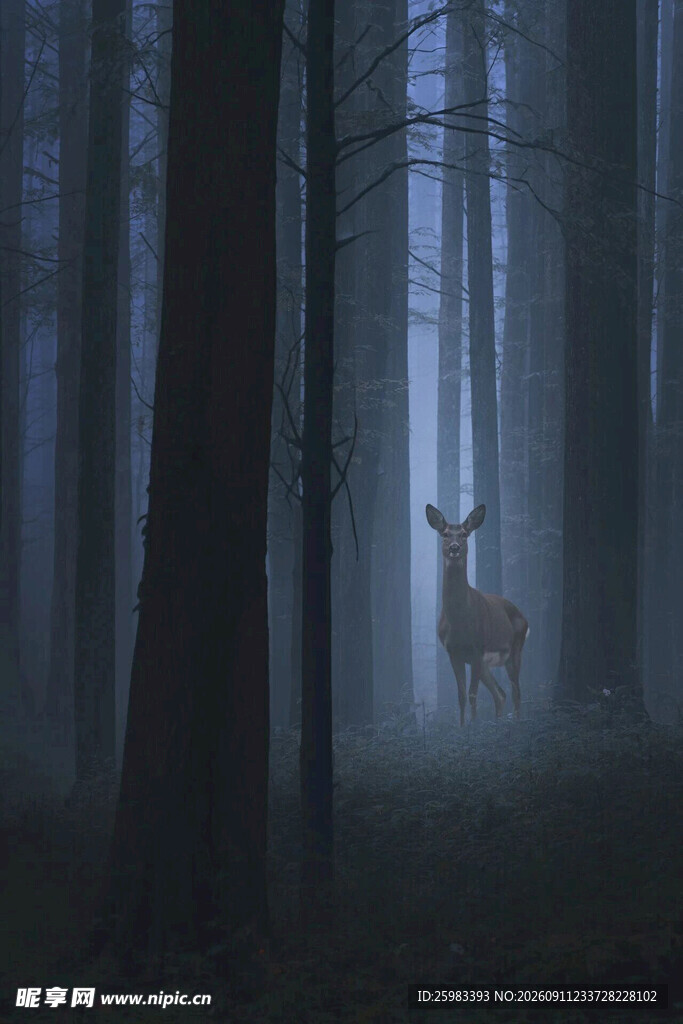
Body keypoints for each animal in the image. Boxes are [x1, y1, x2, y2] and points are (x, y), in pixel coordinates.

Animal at [426, 503, 528, 726]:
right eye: (445, 534)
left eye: (464, 534)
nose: (454, 547)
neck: (459, 620)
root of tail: (523, 616)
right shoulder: (453, 652)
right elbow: (461, 695)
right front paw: (463, 727)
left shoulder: (476, 648)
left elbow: (472, 694)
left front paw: (473, 726)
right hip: (485, 664)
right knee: (500, 693)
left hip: (515, 649)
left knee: (516, 691)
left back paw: (517, 723)